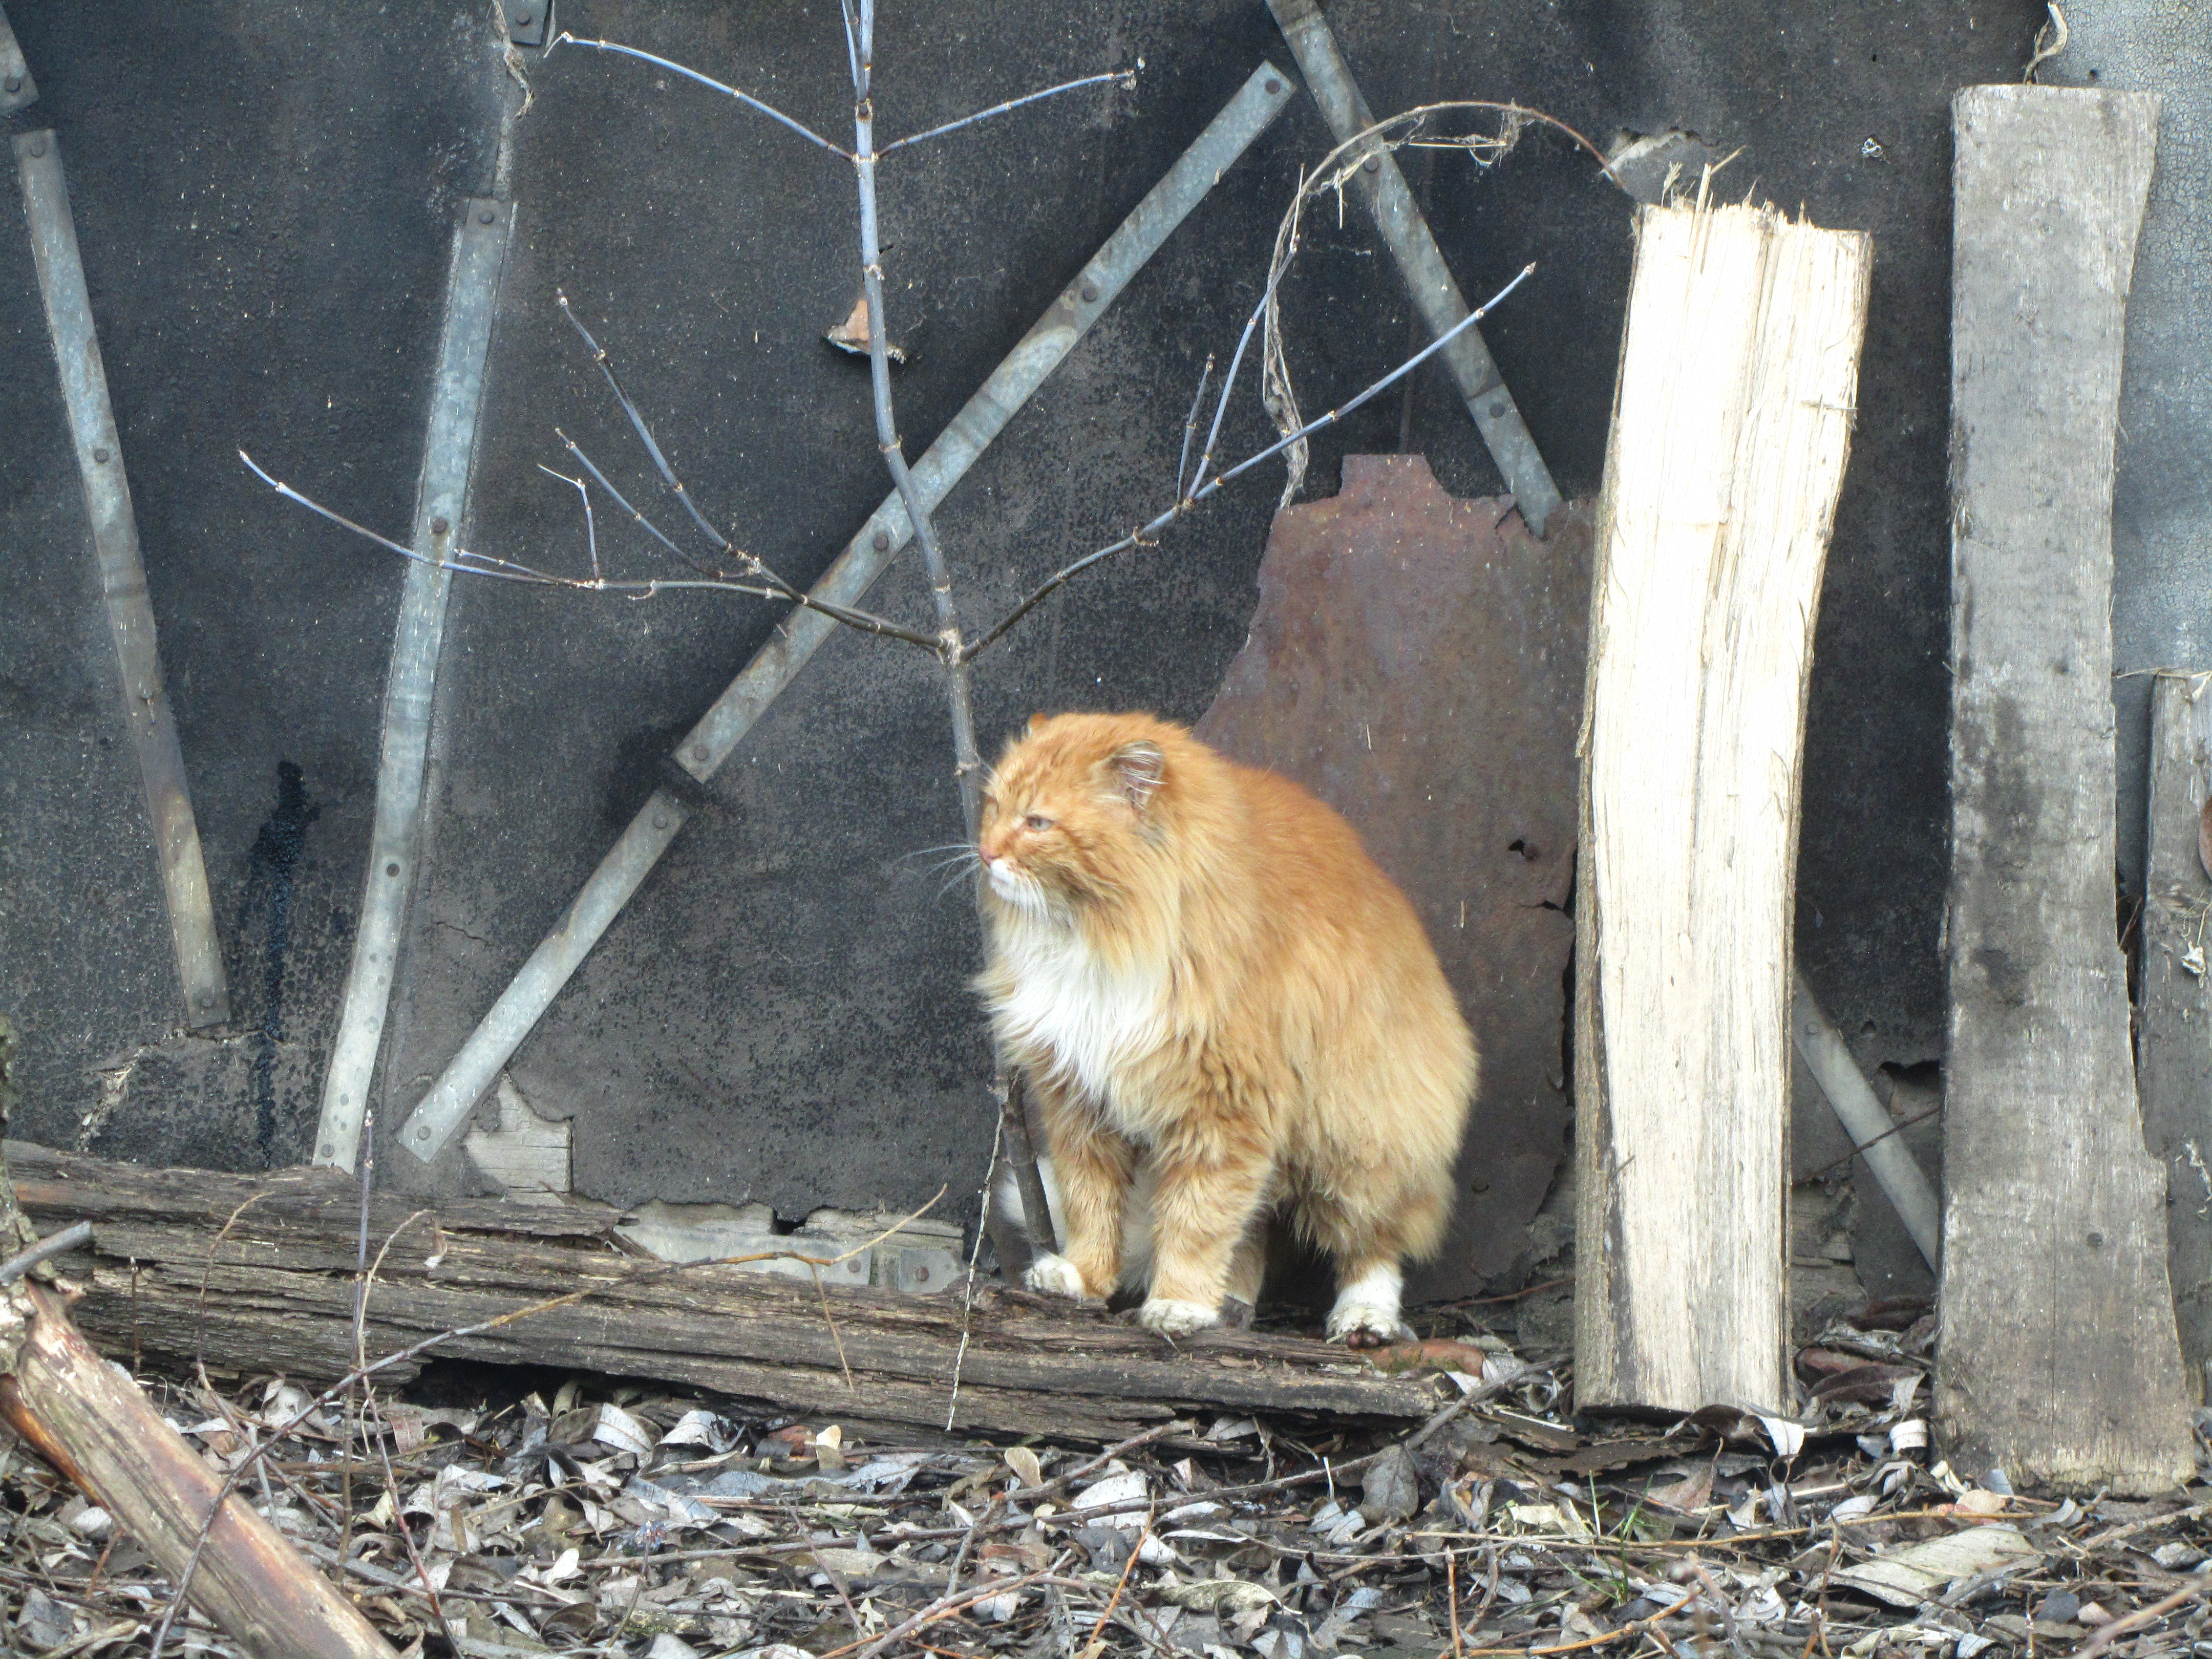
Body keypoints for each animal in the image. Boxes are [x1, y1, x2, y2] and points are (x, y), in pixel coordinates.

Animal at [977, 716, 1477, 1353]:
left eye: (1038, 823)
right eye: (994, 807)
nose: (985, 853)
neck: (1100, 939)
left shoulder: (1222, 1108)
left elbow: (1197, 1220)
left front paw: (1179, 1303)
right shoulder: (1079, 1098)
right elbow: (1091, 1202)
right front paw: (1084, 1277)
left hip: (1353, 1140)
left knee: (1372, 1245)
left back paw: (1363, 1318)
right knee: (1254, 1229)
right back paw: (1234, 1305)